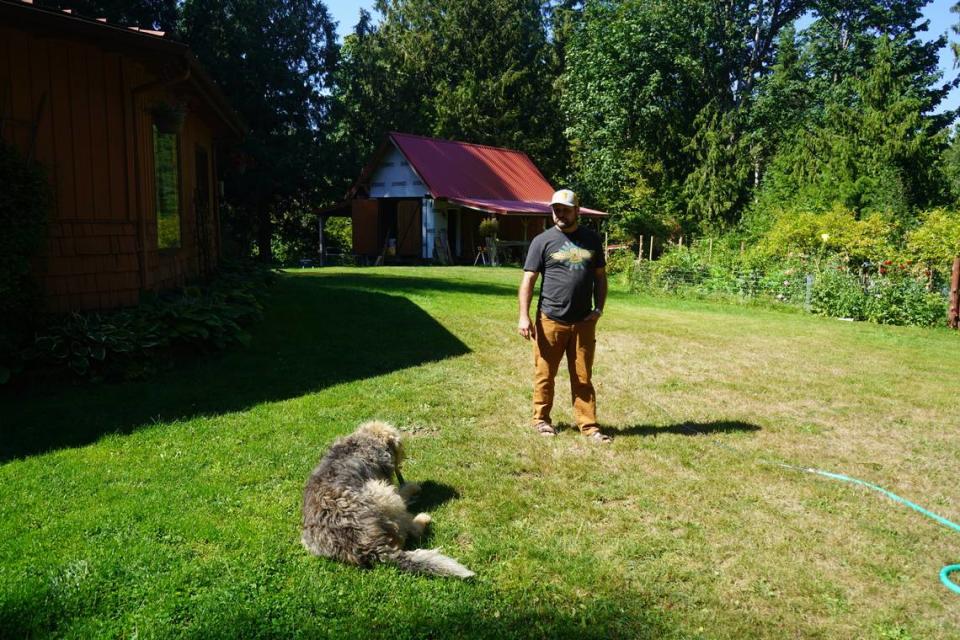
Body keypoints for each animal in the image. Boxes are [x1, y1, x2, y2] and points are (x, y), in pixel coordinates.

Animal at [302, 420, 474, 580]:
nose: (403, 455)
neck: (364, 441)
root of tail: (370, 547)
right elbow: (402, 492)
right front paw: (412, 488)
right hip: (384, 494)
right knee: (410, 530)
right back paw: (422, 518)